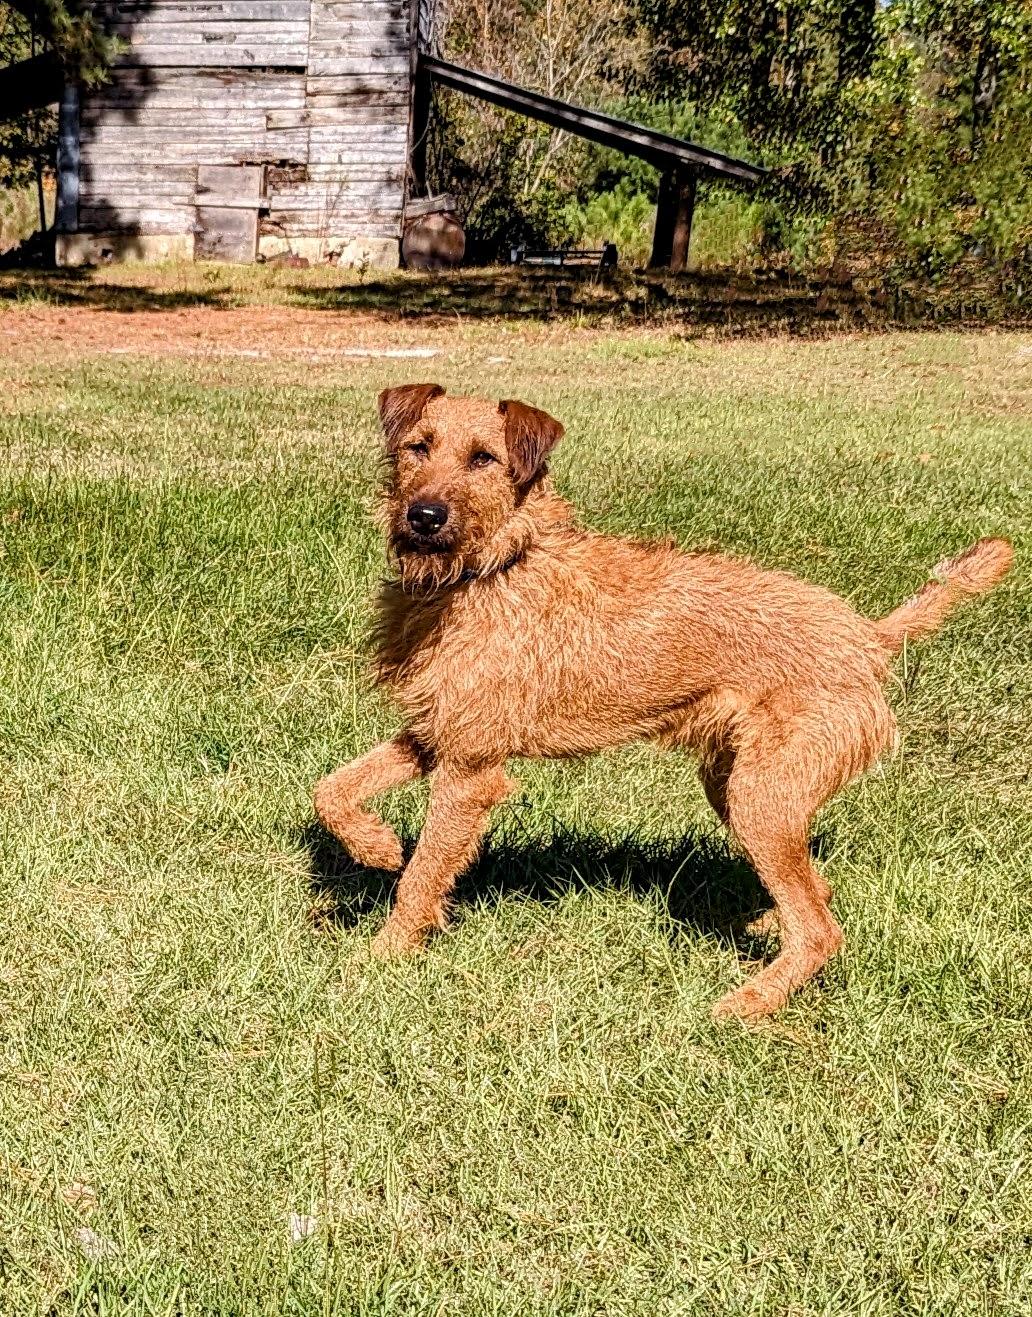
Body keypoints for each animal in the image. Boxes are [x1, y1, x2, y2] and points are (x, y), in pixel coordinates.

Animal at [314, 384, 1013, 1020]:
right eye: (418, 447)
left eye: (483, 458)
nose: (424, 515)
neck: (493, 568)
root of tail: (868, 637)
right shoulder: (436, 734)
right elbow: (333, 789)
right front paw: (375, 846)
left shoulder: (469, 768)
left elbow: (424, 872)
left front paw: (381, 959)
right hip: (739, 786)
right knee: (814, 888)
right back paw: (765, 927)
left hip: (761, 797)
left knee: (820, 928)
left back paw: (747, 1004)